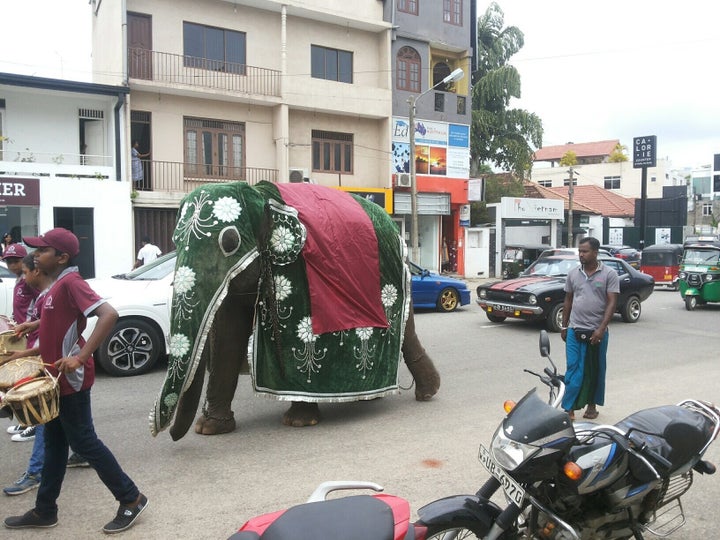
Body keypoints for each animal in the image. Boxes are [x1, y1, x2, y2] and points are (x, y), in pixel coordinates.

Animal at [152, 179, 438, 440]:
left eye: (230, 241)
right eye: (174, 241)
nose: (170, 435)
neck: (261, 196)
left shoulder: (297, 275)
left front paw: (299, 421)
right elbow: (227, 336)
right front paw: (209, 429)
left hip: (395, 282)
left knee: (406, 331)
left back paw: (426, 393)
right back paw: (377, 396)